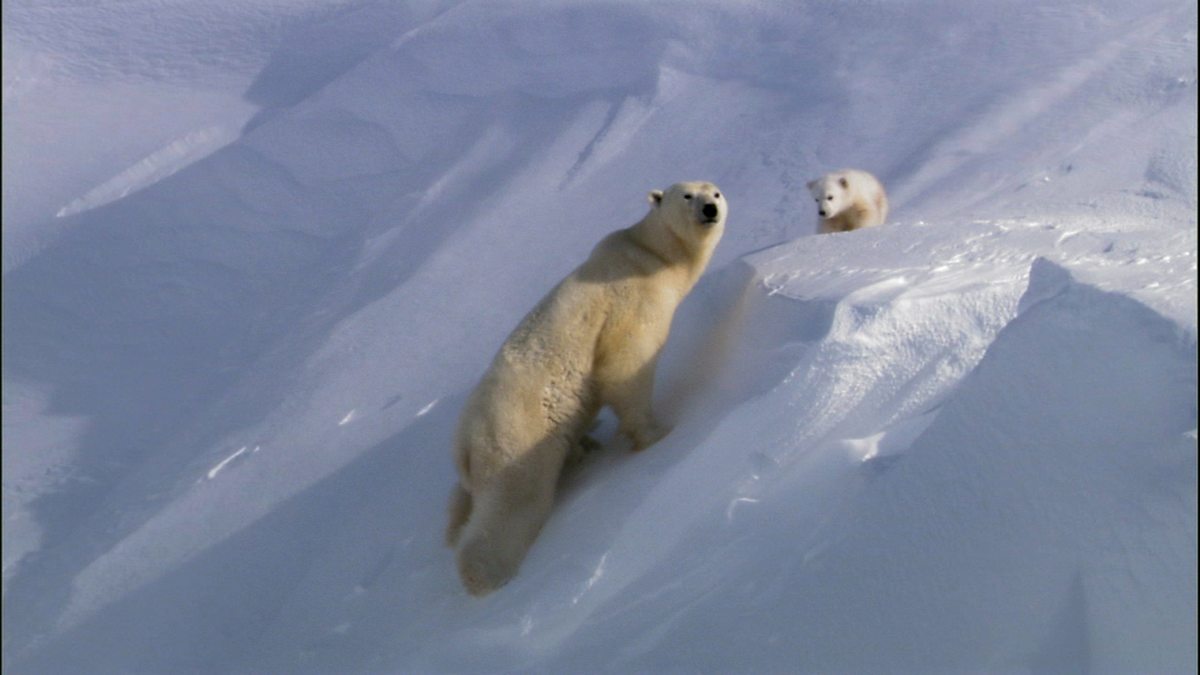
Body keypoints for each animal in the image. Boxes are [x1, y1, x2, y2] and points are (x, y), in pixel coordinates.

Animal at [446, 180, 724, 593]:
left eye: (715, 193)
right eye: (687, 195)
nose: (709, 210)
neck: (649, 255)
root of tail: (462, 447)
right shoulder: (631, 300)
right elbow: (625, 363)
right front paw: (657, 433)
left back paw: (585, 447)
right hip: (514, 435)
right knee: (513, 503)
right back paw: (488, 575)